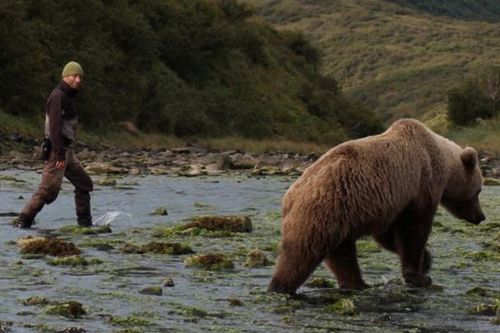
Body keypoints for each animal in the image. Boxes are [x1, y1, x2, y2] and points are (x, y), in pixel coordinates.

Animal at [270, 117, 484, 294]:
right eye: (478, 190)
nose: (481, 216)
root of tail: (290, 195)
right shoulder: (420, 186)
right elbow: (413, 232)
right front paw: (421, 276)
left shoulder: (390, 204)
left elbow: (389, 235)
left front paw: (426, 261)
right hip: (322, 210)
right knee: (301, 253)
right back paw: (280, 287)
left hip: (339, 219)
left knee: (342, 254)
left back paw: (357, 284)